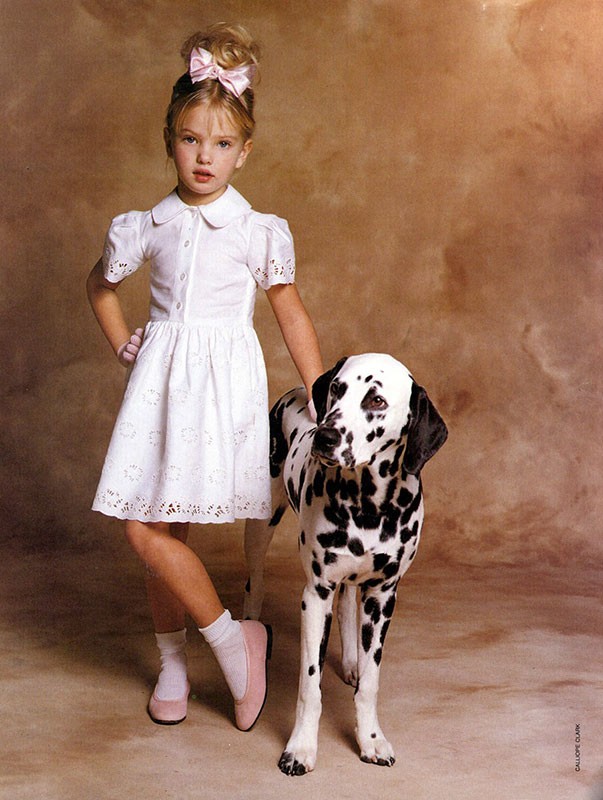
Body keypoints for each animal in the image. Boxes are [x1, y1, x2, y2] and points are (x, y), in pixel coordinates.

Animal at [243, 354, 447, 775]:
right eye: (338, 389)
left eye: (376, 401)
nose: (325, 436)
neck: (368, 504)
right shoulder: (315, 595)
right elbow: (310, 685)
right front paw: (300, 748)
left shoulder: (383, 597)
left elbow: (371, 682)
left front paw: (371, 739)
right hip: (260, 525)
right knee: (253, 583)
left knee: (348, 604)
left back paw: (352, 661)